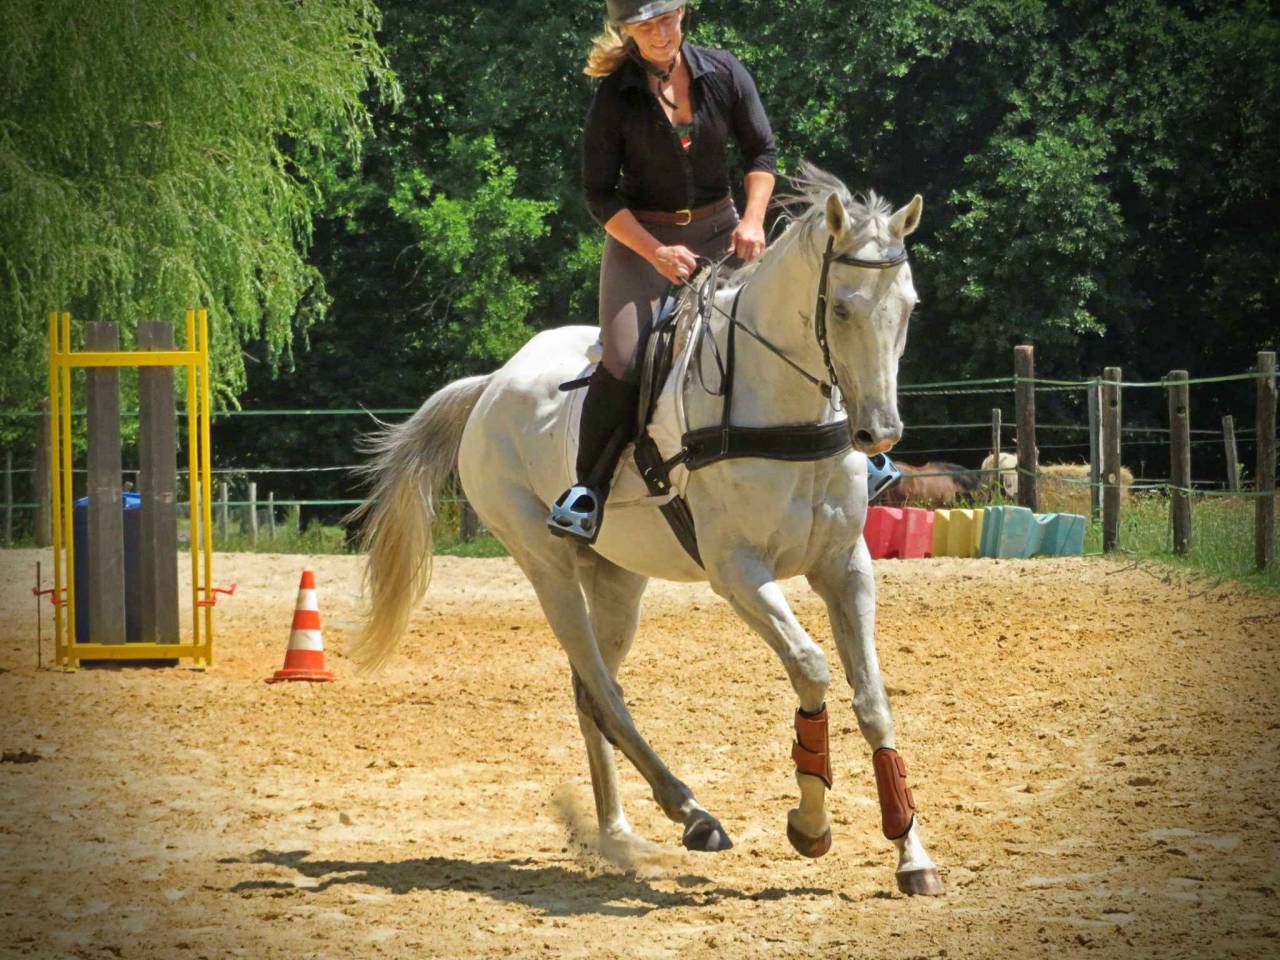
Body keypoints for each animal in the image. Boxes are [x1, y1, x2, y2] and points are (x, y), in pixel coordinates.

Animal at [349, 163, 944, 896]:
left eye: (908, 308)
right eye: (840, 308)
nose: (879, 433)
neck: (781, 408)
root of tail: (491, 386)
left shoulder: (844, 567)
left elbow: (872, 698)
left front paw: (911, 853)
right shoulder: (739, 573)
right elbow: (810, 668)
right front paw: (810, 825)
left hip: (615, 580)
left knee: (590, 691)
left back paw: (618, 832)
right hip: (547, 567)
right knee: (603, 692)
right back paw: (691, 814)